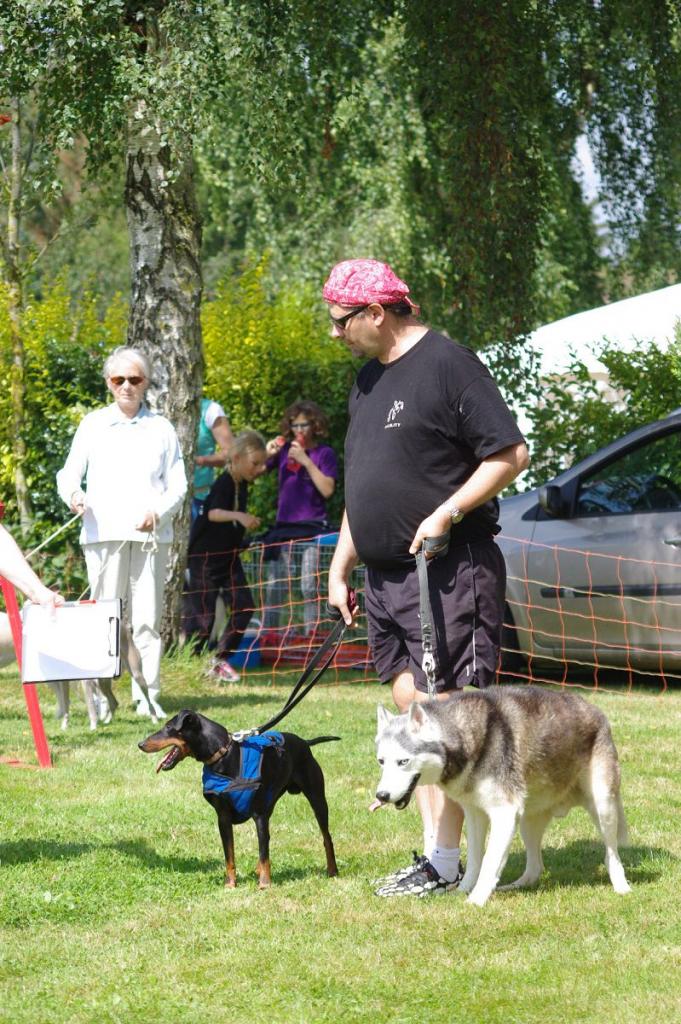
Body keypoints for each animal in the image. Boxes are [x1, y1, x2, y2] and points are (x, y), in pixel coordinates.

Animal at [139, 712, 339, 888]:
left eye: (168, 728)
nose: (140, 744)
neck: (223, 755)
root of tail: (305, 742)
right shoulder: (223, 817)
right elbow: (230, 855)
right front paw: (230, 884)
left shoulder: (258, 815)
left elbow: (262, 851)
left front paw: (265, 884)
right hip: (271, 801)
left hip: (317, 798)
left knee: (326, 837)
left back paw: (332, 870)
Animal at [374, 688, 630, 905]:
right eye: (381, 761)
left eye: (403, 761)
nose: (381, 795)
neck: (466, 739)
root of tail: (595, 710)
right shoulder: (475, 815)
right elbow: (475, 858)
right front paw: (463, 891)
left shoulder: (504, 814)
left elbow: (489, 861)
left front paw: (476, 901)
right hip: (527, 821)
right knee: (535, 867)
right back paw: (515, 886)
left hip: (604, 807)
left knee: (612, 854)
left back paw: (621, 886)